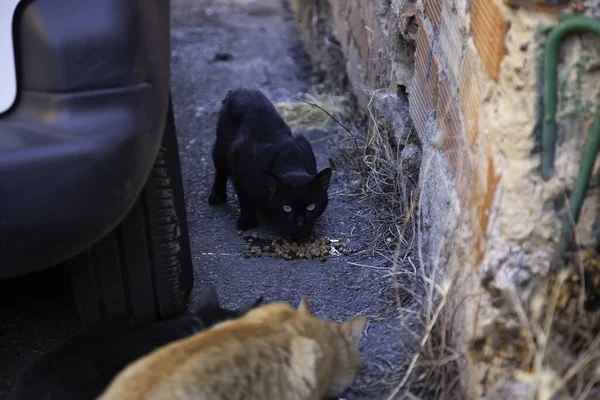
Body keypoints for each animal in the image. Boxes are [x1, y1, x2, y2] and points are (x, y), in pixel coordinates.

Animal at [210, 88, 332, 238]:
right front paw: (247, 222)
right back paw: (217, 196)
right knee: (220, 169)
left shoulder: (304, 144)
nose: (300, 224)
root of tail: (240, 89)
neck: (291, 162)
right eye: (287, 208)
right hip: (221, 148)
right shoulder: (238, 164)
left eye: (311, 207)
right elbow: (244, 198)